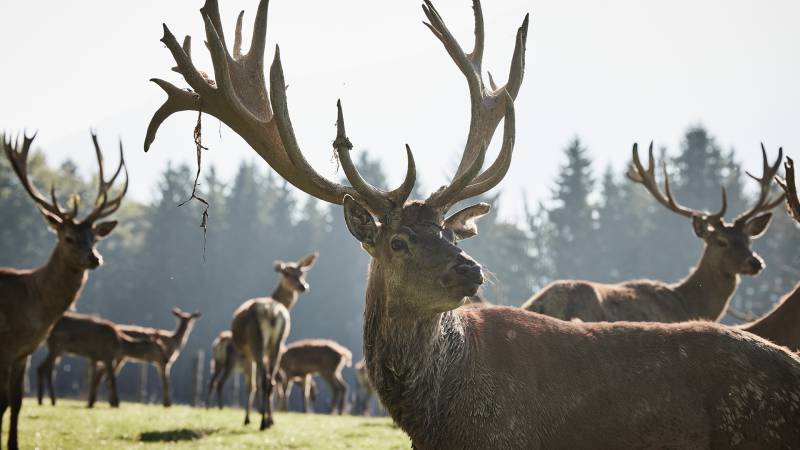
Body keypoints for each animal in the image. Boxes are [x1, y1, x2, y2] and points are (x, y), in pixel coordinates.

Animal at [0, 132, 126, 450]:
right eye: (68, 237)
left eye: (95, 237)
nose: (95, 258)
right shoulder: (5, 347)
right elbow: (2, 402)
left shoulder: (23, 352)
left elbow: (15, 402)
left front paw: (14, 444)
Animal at [227, 253, 317, 429]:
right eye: (287, 273)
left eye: (302, 273)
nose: (303, 286)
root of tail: (272, 313)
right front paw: (270, 418)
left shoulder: (248, 352)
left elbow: (251, 385)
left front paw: (248, 419)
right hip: (278, 343)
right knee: (271, 382)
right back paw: (268, 421)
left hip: (256, 341)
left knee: (262, 381)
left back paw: (262, 422)